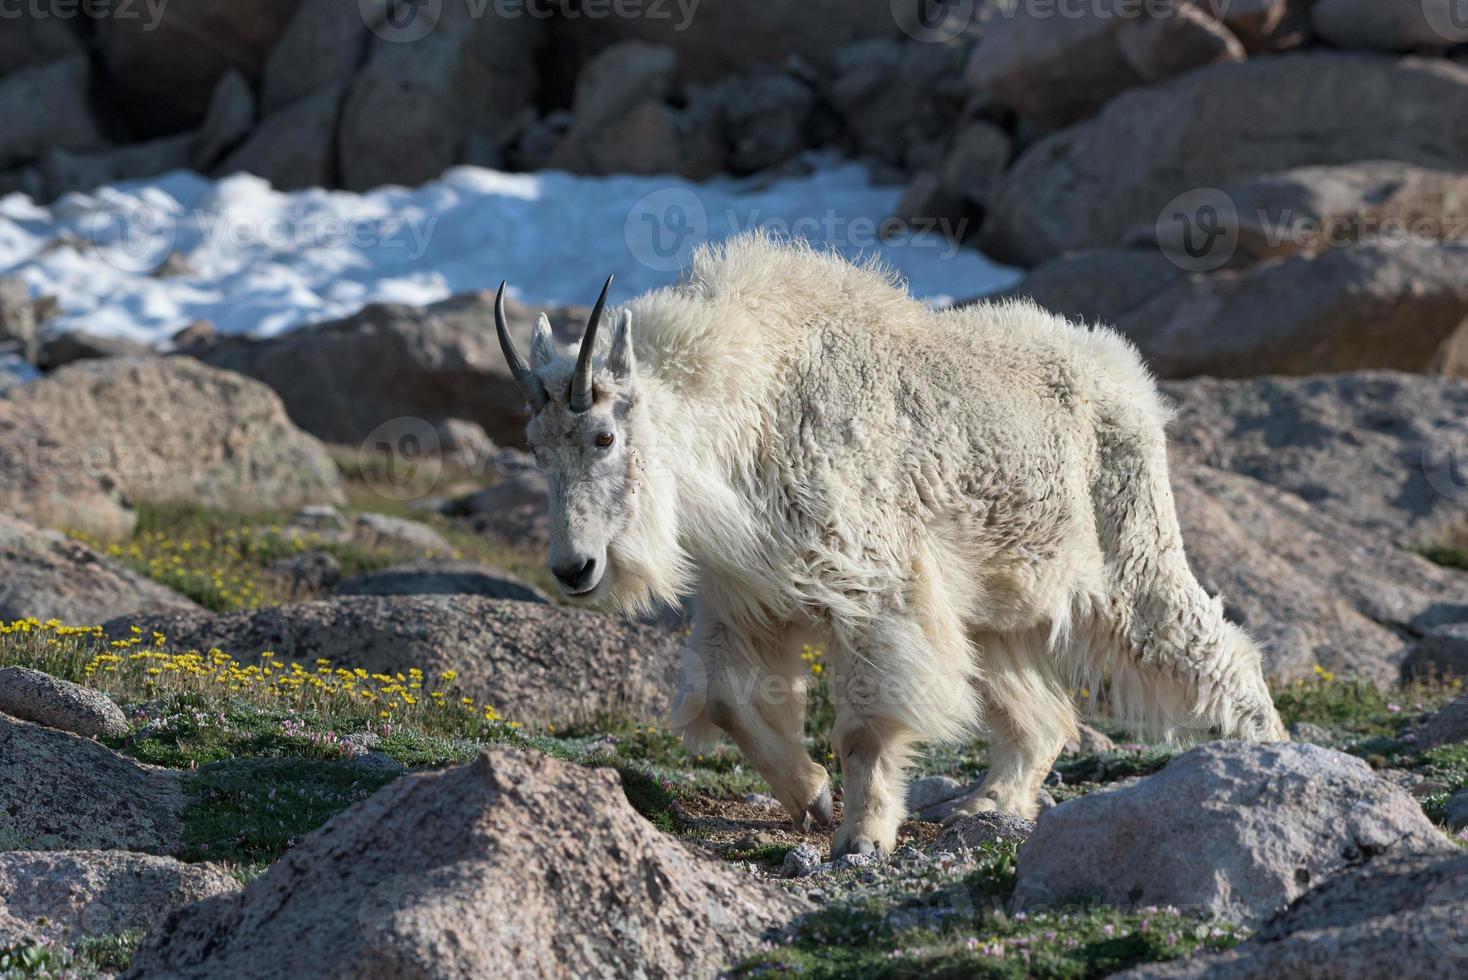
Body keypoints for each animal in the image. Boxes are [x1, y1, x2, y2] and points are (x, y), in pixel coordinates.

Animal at [499, 233, 1291, 850]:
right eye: (534, 447)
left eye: (604, 436)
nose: (574, 568)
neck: (746, 408)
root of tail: (1129, 376)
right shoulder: (751, 594)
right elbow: (726, 699)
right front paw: (813, 795)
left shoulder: (875, 584)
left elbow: (867, 725)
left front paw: (862, 835)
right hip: (995, 600)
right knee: (1040, 712)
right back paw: (988, 802)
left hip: (1130, 546)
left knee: (1207, 643)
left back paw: (1269, 758)